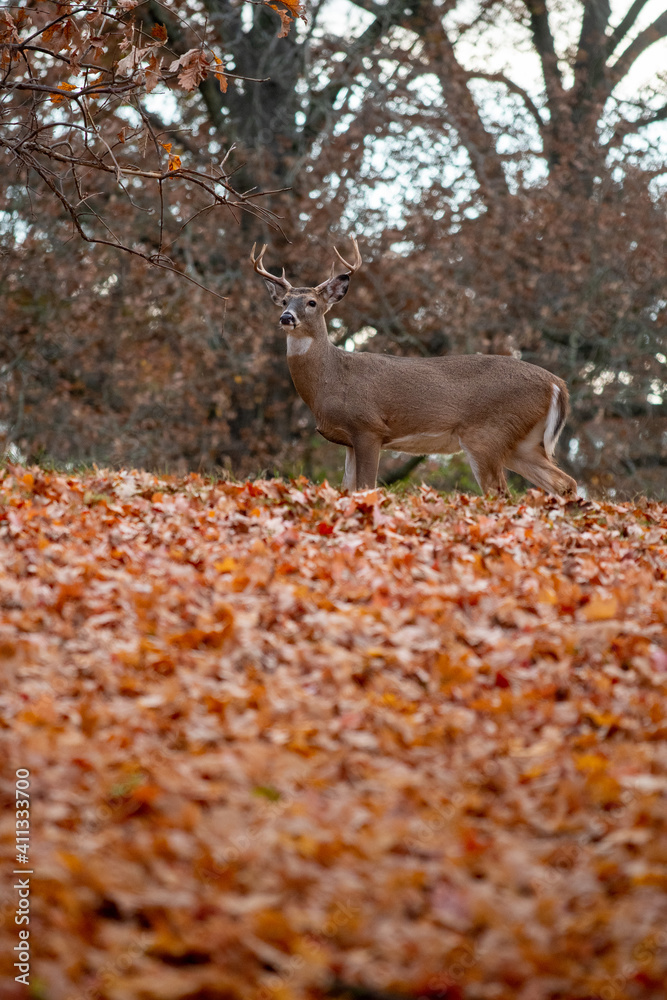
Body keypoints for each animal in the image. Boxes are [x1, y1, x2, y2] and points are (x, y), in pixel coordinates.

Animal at [250, 235, 580, 500]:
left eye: (312, 303)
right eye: (284, 301)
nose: (286, 318)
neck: (331, 379)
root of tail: (557, 385)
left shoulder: (368, 426)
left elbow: (366, 486)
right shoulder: (348, 440)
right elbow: (348, 487)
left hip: (488, 433)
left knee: (500, 492)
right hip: (522, 443)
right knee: (564, 482)